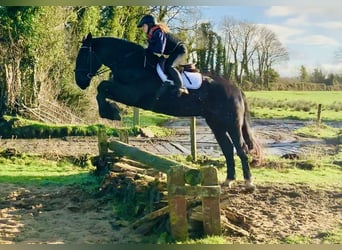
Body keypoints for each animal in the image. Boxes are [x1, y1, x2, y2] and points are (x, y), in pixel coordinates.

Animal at [75, 32, 260, 189]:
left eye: (84, 55)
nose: (79, 81)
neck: (130, 63)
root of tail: (236, 90)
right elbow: (102, 88)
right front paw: (111, 111)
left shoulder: (131, 94)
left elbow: (102, 86)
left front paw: (111, 111)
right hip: (216, 123)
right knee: (228, 149)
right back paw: (229, 180)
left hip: (231, 123)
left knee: (241, 148)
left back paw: (249, 182)